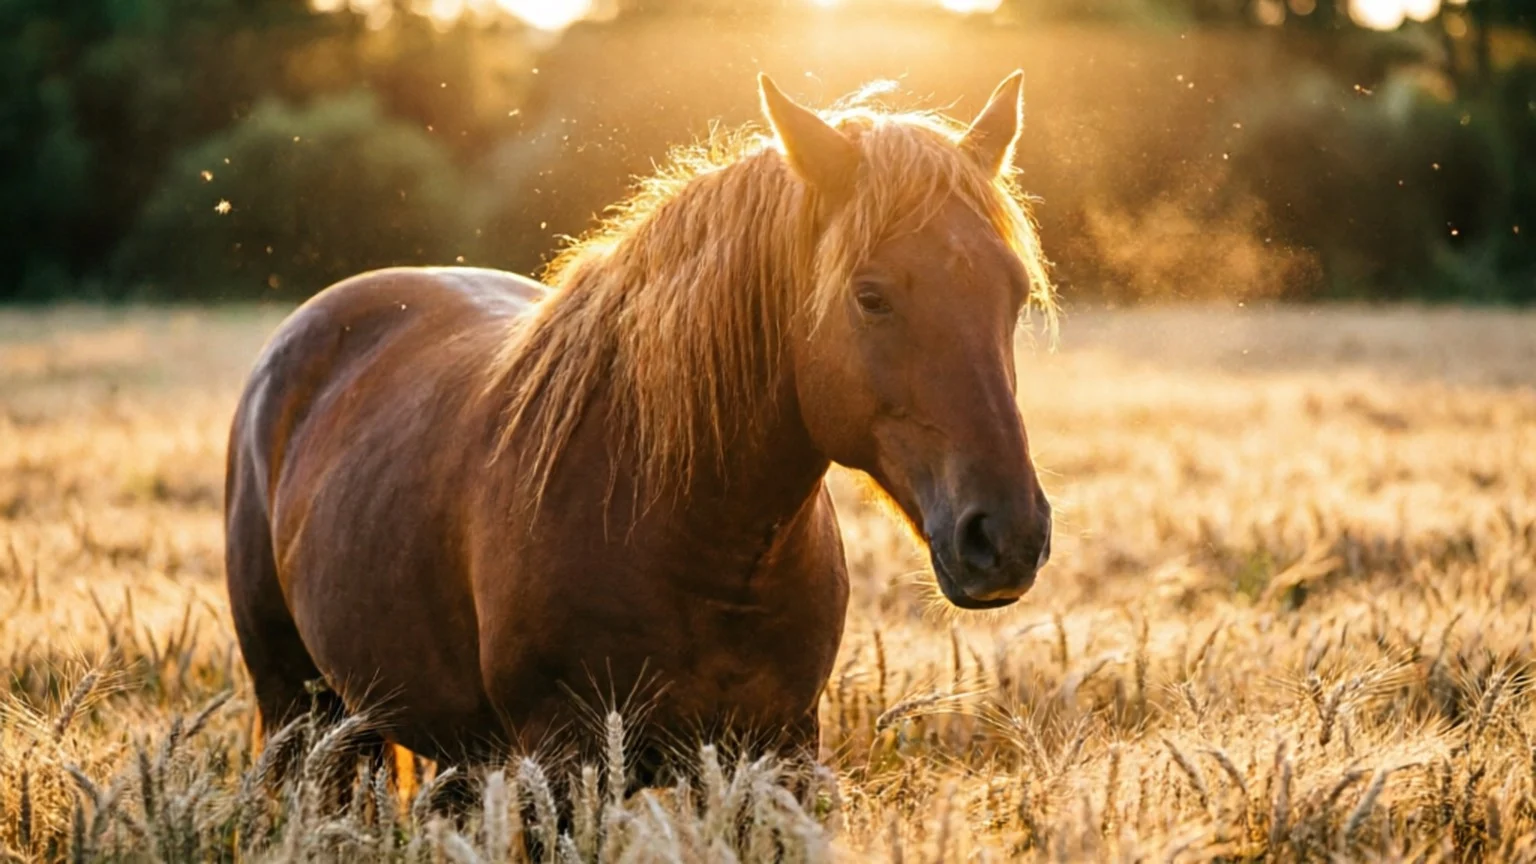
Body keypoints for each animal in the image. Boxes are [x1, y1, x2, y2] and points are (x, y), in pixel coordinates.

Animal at [224, 72, 1056, 779]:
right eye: (871, 295)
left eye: (1014, 292)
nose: (1007, 535)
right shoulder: (565, 753)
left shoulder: (776, 751)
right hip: (303, 706)